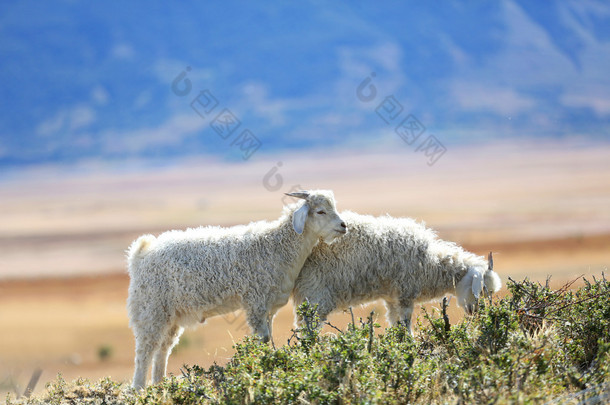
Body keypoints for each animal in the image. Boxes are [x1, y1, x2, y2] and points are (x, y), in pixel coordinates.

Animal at [126, 190, 344, 388]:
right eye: (321, 211)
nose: (343, 226)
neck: (275, 246)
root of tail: (140, 255)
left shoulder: (269, 307)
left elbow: (269, 337)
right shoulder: (255, 302)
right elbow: (263, 339)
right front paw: (263, 366)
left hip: (171, 315)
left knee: (163, 349)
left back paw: (160, 384)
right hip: (150, 310)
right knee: (145, 351)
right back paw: (139, 389)